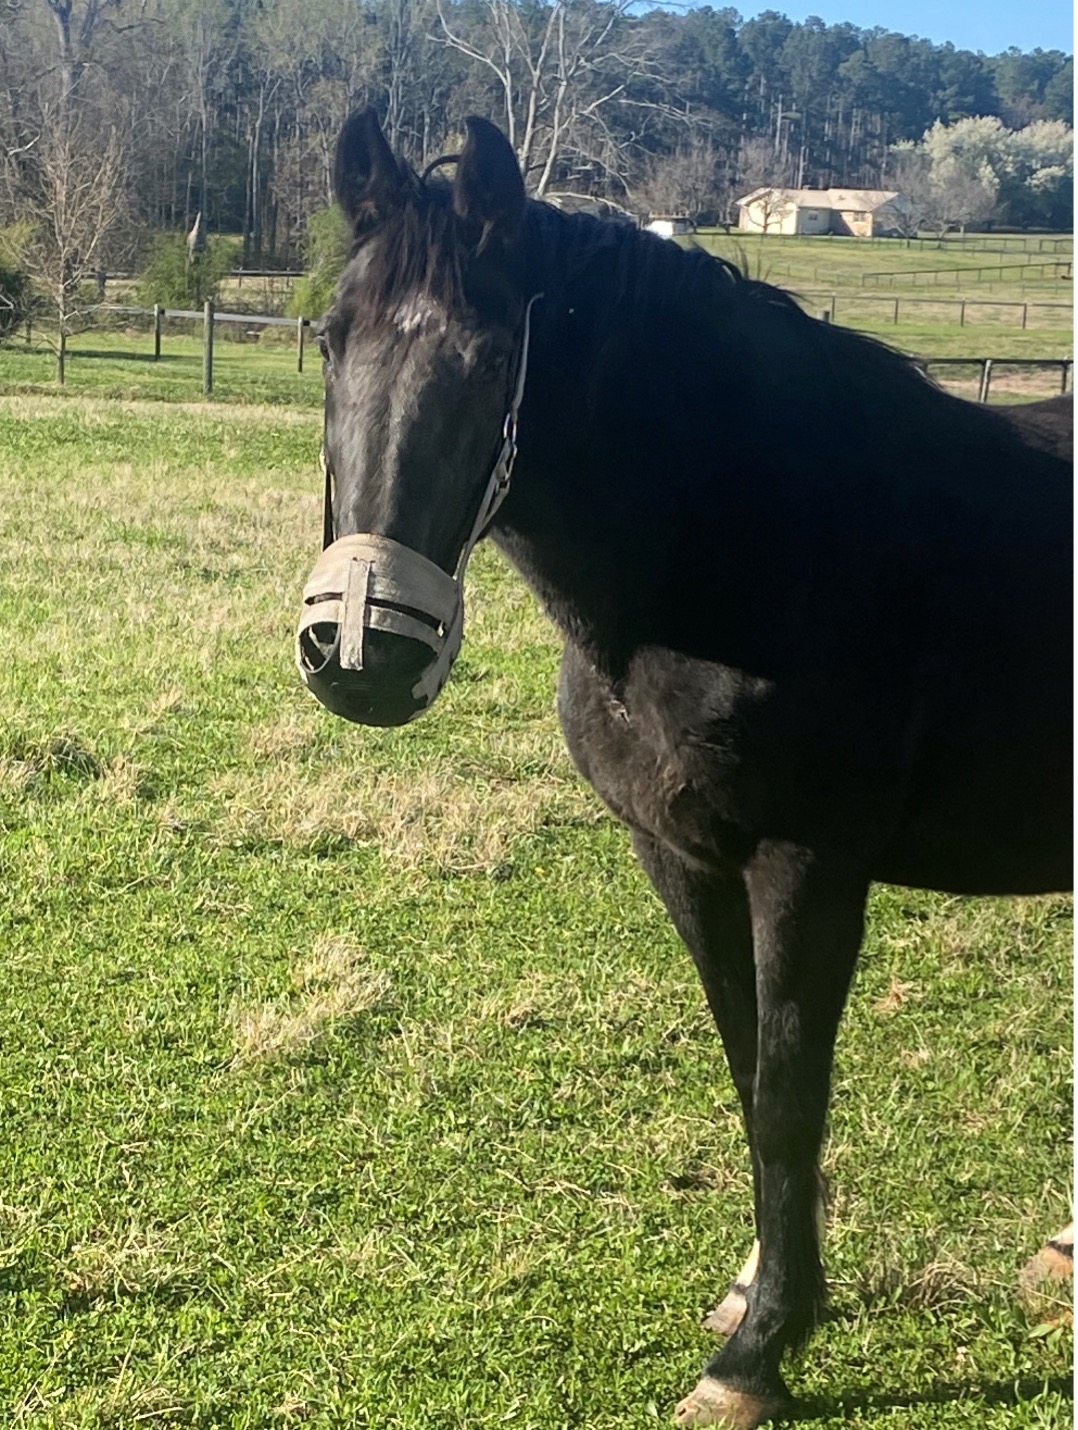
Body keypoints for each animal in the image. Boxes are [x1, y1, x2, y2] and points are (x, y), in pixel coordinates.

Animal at [294, 109, 1073, 1428]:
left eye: (487, 358)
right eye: (332, 335)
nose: (363, 657)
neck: (754, 535)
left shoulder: (806, 869)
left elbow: (789, 1095)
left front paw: (757, 1355)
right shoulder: (682, 857)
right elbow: (750, 1071)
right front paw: (764, 1283)